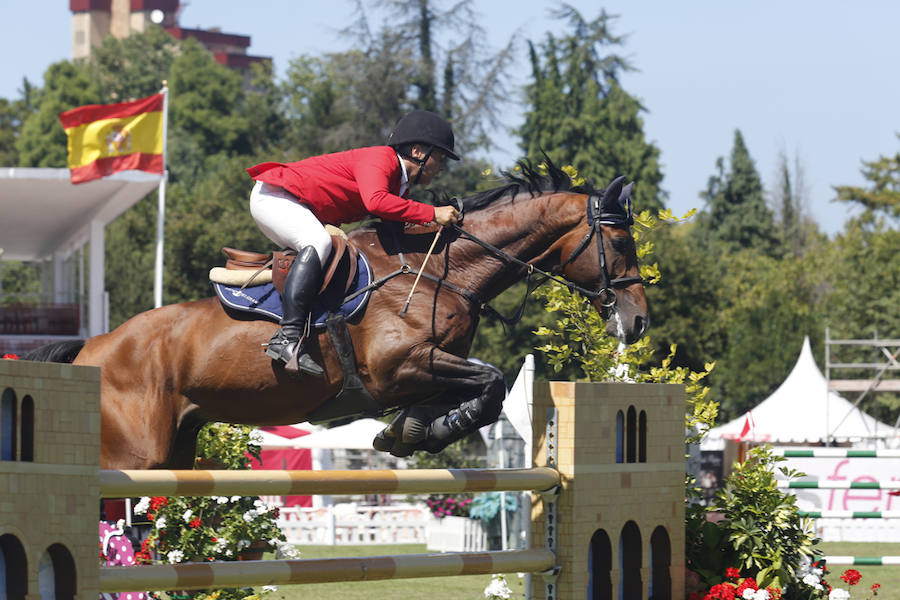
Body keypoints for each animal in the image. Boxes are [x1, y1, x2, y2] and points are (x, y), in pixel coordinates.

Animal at [26, 162, 648, 472]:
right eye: (620, 245)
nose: (638, 323)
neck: (442, 270)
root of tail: (91, 349)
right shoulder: (398, 368)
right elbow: (490, 382)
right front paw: (420, 431)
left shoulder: (427, 367)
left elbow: (478, 392)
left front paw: (411, 432)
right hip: (131, 452)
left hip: (173, 449)